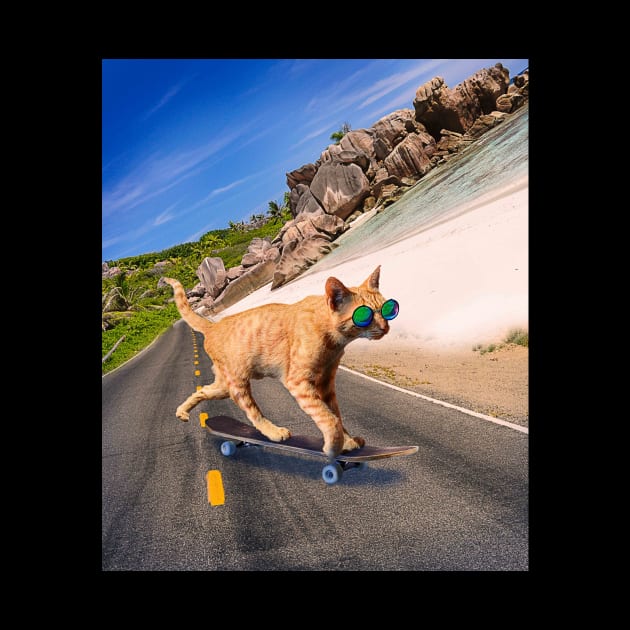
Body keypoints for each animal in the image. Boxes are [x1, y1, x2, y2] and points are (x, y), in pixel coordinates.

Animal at [158, 266, 398, 460]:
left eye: (387, 309)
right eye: (365, 316)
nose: (386, 327)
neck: (334, 341)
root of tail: (212, 326)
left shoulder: (326, 383)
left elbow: (335, 415)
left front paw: (347, 443)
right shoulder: (299, 382)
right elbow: (328, 418)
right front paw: (333, 448)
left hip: (223, 386)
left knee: (202, 391)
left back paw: (182, 412)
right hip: (237, 381)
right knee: (252, 411)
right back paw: (274, 432)